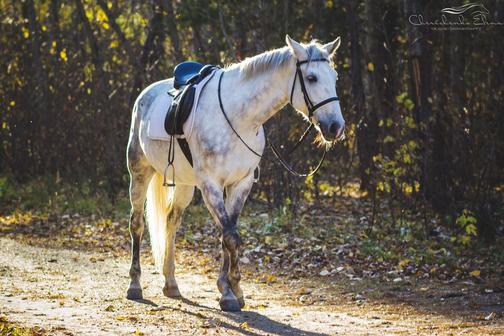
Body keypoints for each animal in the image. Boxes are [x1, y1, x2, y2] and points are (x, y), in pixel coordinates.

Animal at [127, 35, 346, 312]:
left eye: (335, 77)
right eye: (311, 78)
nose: (336, 127)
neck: (239, 117)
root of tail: (146, 94)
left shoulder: (241, 184)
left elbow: (228, 235)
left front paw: (232, 289)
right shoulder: (211, 186)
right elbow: (230, 236)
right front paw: (230, 295)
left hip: (185, 184)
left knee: (171, 222)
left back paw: (171, 284)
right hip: (139, 173)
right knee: (136, 224)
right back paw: (134, 284)